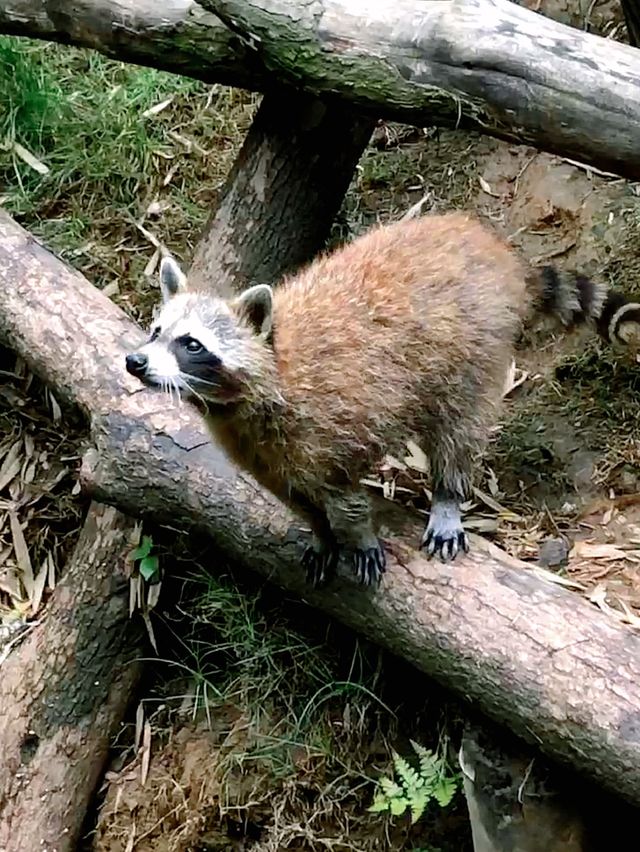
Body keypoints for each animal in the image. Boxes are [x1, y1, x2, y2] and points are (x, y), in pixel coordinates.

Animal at [124, 211, 640, 592]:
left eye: (191, 345)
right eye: (155, 332)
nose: (134, 361)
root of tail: (499, 257)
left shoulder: (329, 422)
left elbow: (345, 494)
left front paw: (356, 533)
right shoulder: (261, 452)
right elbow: (296, 497)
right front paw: (320, 530)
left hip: (476, 349)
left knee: (459, 430)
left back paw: (448, 494)